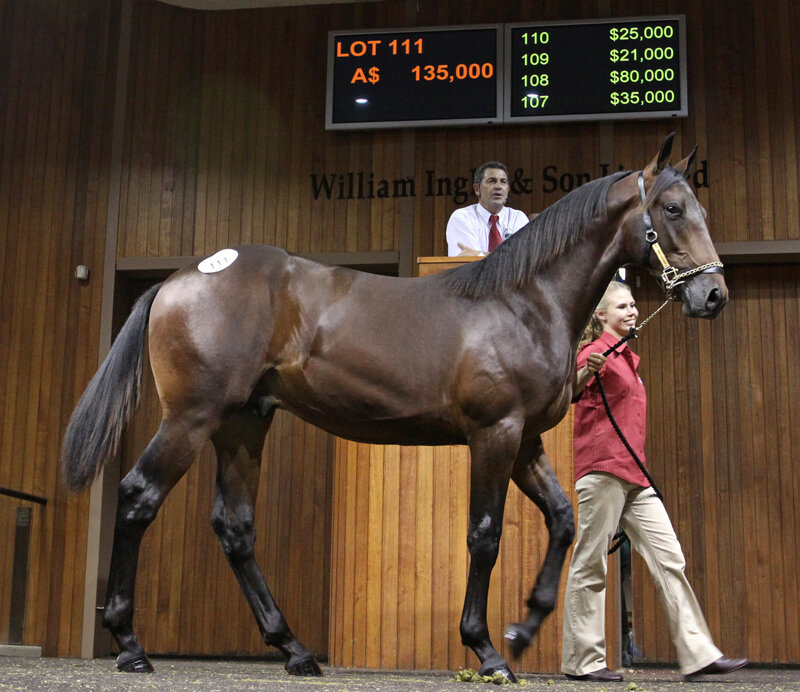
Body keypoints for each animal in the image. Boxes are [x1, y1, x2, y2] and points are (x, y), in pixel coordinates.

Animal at [61, 134, 727, 681]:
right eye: (671, 210)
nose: (713, 293)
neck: (521, 302)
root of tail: (178, 278)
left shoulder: (526, 442)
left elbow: (563, 519)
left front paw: (523, 627)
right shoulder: (495, 434)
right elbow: (484, 535)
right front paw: (486, 650)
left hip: (243, 423)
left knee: (235, 527)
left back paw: (293, 650)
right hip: (192, 418)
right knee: (139, 497)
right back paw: (129, 645)